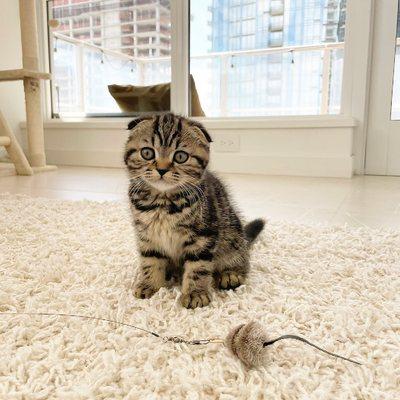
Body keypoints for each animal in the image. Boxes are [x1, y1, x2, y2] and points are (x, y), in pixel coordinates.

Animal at [123, 112, 264, 310]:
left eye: (180, 156)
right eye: (147, 152)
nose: (162, 169)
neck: (162, 202)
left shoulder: (203, 236)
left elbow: (198, 267)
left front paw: (195, 293)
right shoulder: (147, 235)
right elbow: (150, 260)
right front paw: (148, 284)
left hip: (232, 236)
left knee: (241, 259)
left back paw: (231, 274)